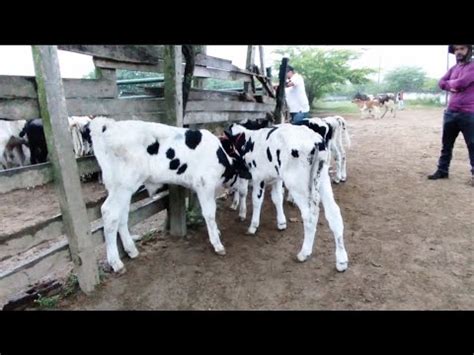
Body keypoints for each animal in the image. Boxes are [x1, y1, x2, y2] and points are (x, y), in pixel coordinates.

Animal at [90, 117, 252, 272]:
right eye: (242, 172)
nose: (245, 189)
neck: (221, 154)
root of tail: (108, 126)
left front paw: (217, 232)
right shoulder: (205, 185)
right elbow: (210, 214)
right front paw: (217, 244)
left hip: (124, 188)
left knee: (122, 215)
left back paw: (131, 250)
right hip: (122, 186)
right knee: (109, 213)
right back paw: (116, 262)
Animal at [224, 123, 350, 272]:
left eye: (227, 145)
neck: (248, 140)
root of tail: (316, 141)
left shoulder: (258, 177)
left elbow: (255, 200)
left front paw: (252, 225)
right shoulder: (276, 178)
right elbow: (277, 198)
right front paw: (281, 222)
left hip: (297, 184)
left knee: (310, 216)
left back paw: (304, 253)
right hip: (323, 180)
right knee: (334, 213)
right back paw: (341, 261)